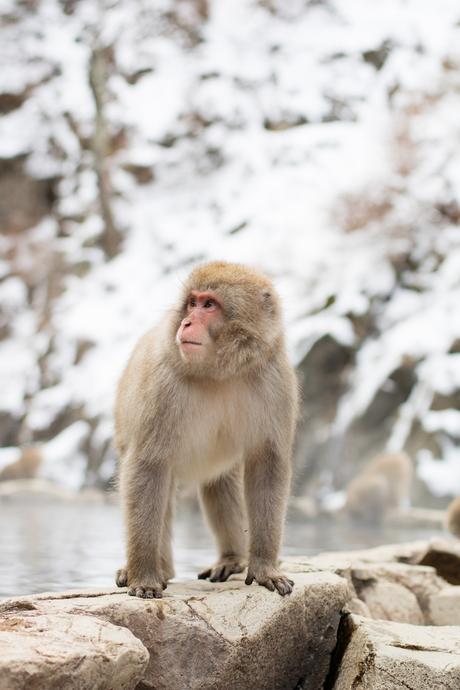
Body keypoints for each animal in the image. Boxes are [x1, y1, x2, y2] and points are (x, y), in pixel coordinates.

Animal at [114, 261, 298, 598]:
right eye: (192, 302)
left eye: (209, 305)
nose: (186, 322)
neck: (220, 373)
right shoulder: (162, 385)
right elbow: (147, 466)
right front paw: (143, 576)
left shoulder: (276, 382)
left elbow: (267, 465)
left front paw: (264, 567)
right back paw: (159, 569)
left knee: (221, 484)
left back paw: (232, 559)